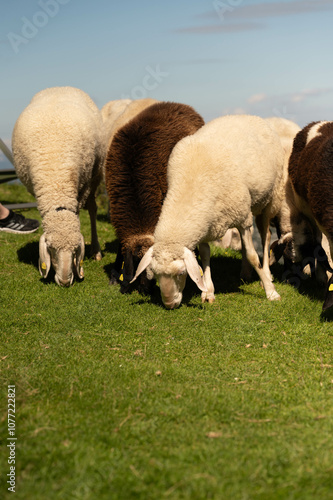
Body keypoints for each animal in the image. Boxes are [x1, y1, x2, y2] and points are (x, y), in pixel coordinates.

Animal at [12, 87, 105, 286]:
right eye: (52, 249)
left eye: (75, 250)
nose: (64, 282)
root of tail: (60, 87)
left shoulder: (82, 188)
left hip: (94, 175)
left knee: (92, 209)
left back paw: (96, 250)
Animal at [131, 114, 284, 308]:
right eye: (156, 274)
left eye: (181, 273)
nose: (169, 305)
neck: (190, 187)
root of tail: (247, 115)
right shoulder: (205, 226)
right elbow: (205, 257)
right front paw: (208, 292)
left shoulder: (242, 217)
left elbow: (252, 255)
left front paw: (271, 292)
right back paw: (245, 273)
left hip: (269, 199)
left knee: (266, 236)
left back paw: (267, 274)